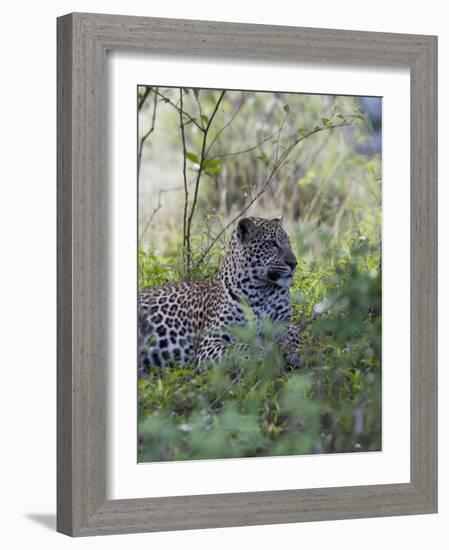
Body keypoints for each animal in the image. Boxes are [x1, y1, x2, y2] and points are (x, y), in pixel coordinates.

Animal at [138, 217, 302, 376]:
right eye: (271, 243)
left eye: (289, 243)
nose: (294, 263)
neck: (262, 290)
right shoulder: (210, 342)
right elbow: (241, 348)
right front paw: (267, 358)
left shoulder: (282, 321)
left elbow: (294, 331)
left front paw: (295, 352)